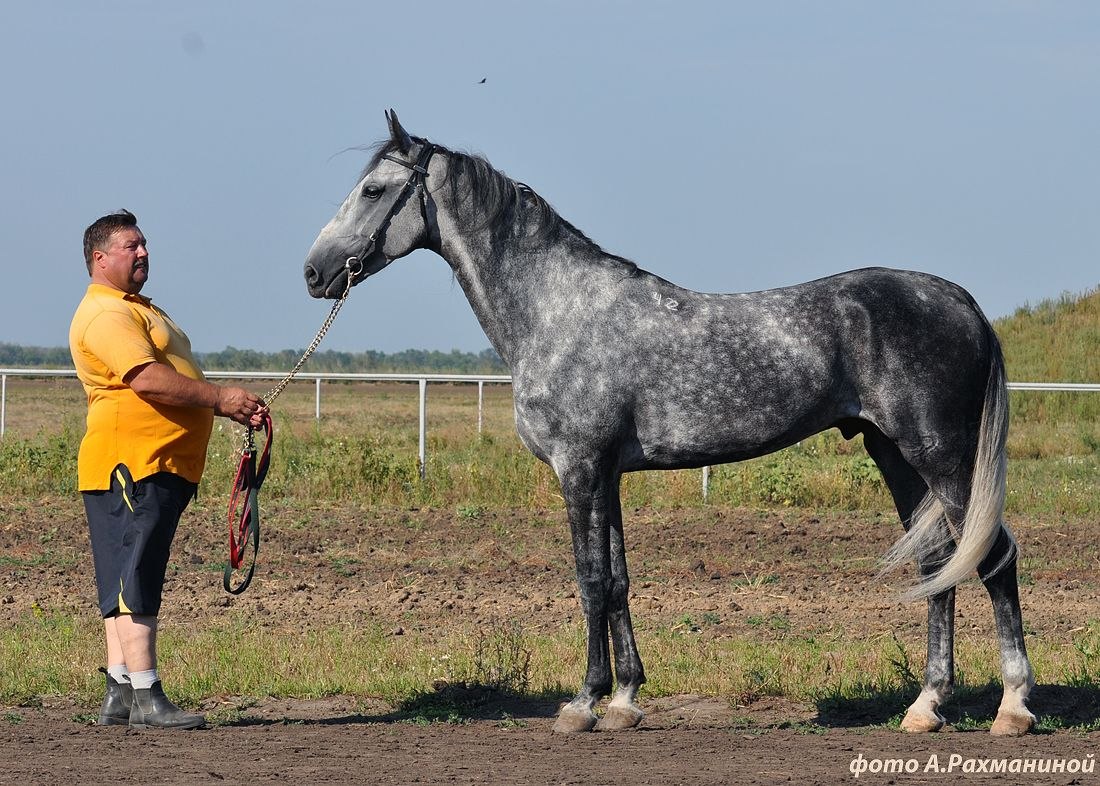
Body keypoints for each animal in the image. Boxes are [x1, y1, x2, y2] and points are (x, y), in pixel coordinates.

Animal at [305, 110, 1034, 738]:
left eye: (373, 189)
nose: (314, 272)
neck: (557, 312)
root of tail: (959, 300)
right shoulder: (608, 474)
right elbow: (619, 580)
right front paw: (625, 700)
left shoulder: (578, 469)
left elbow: (589, 580)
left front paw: (582, 703)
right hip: (897, 457)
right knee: (939, 565)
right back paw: (926, 707)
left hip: (942, 456)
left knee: (993, 558)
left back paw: (1013, 707)